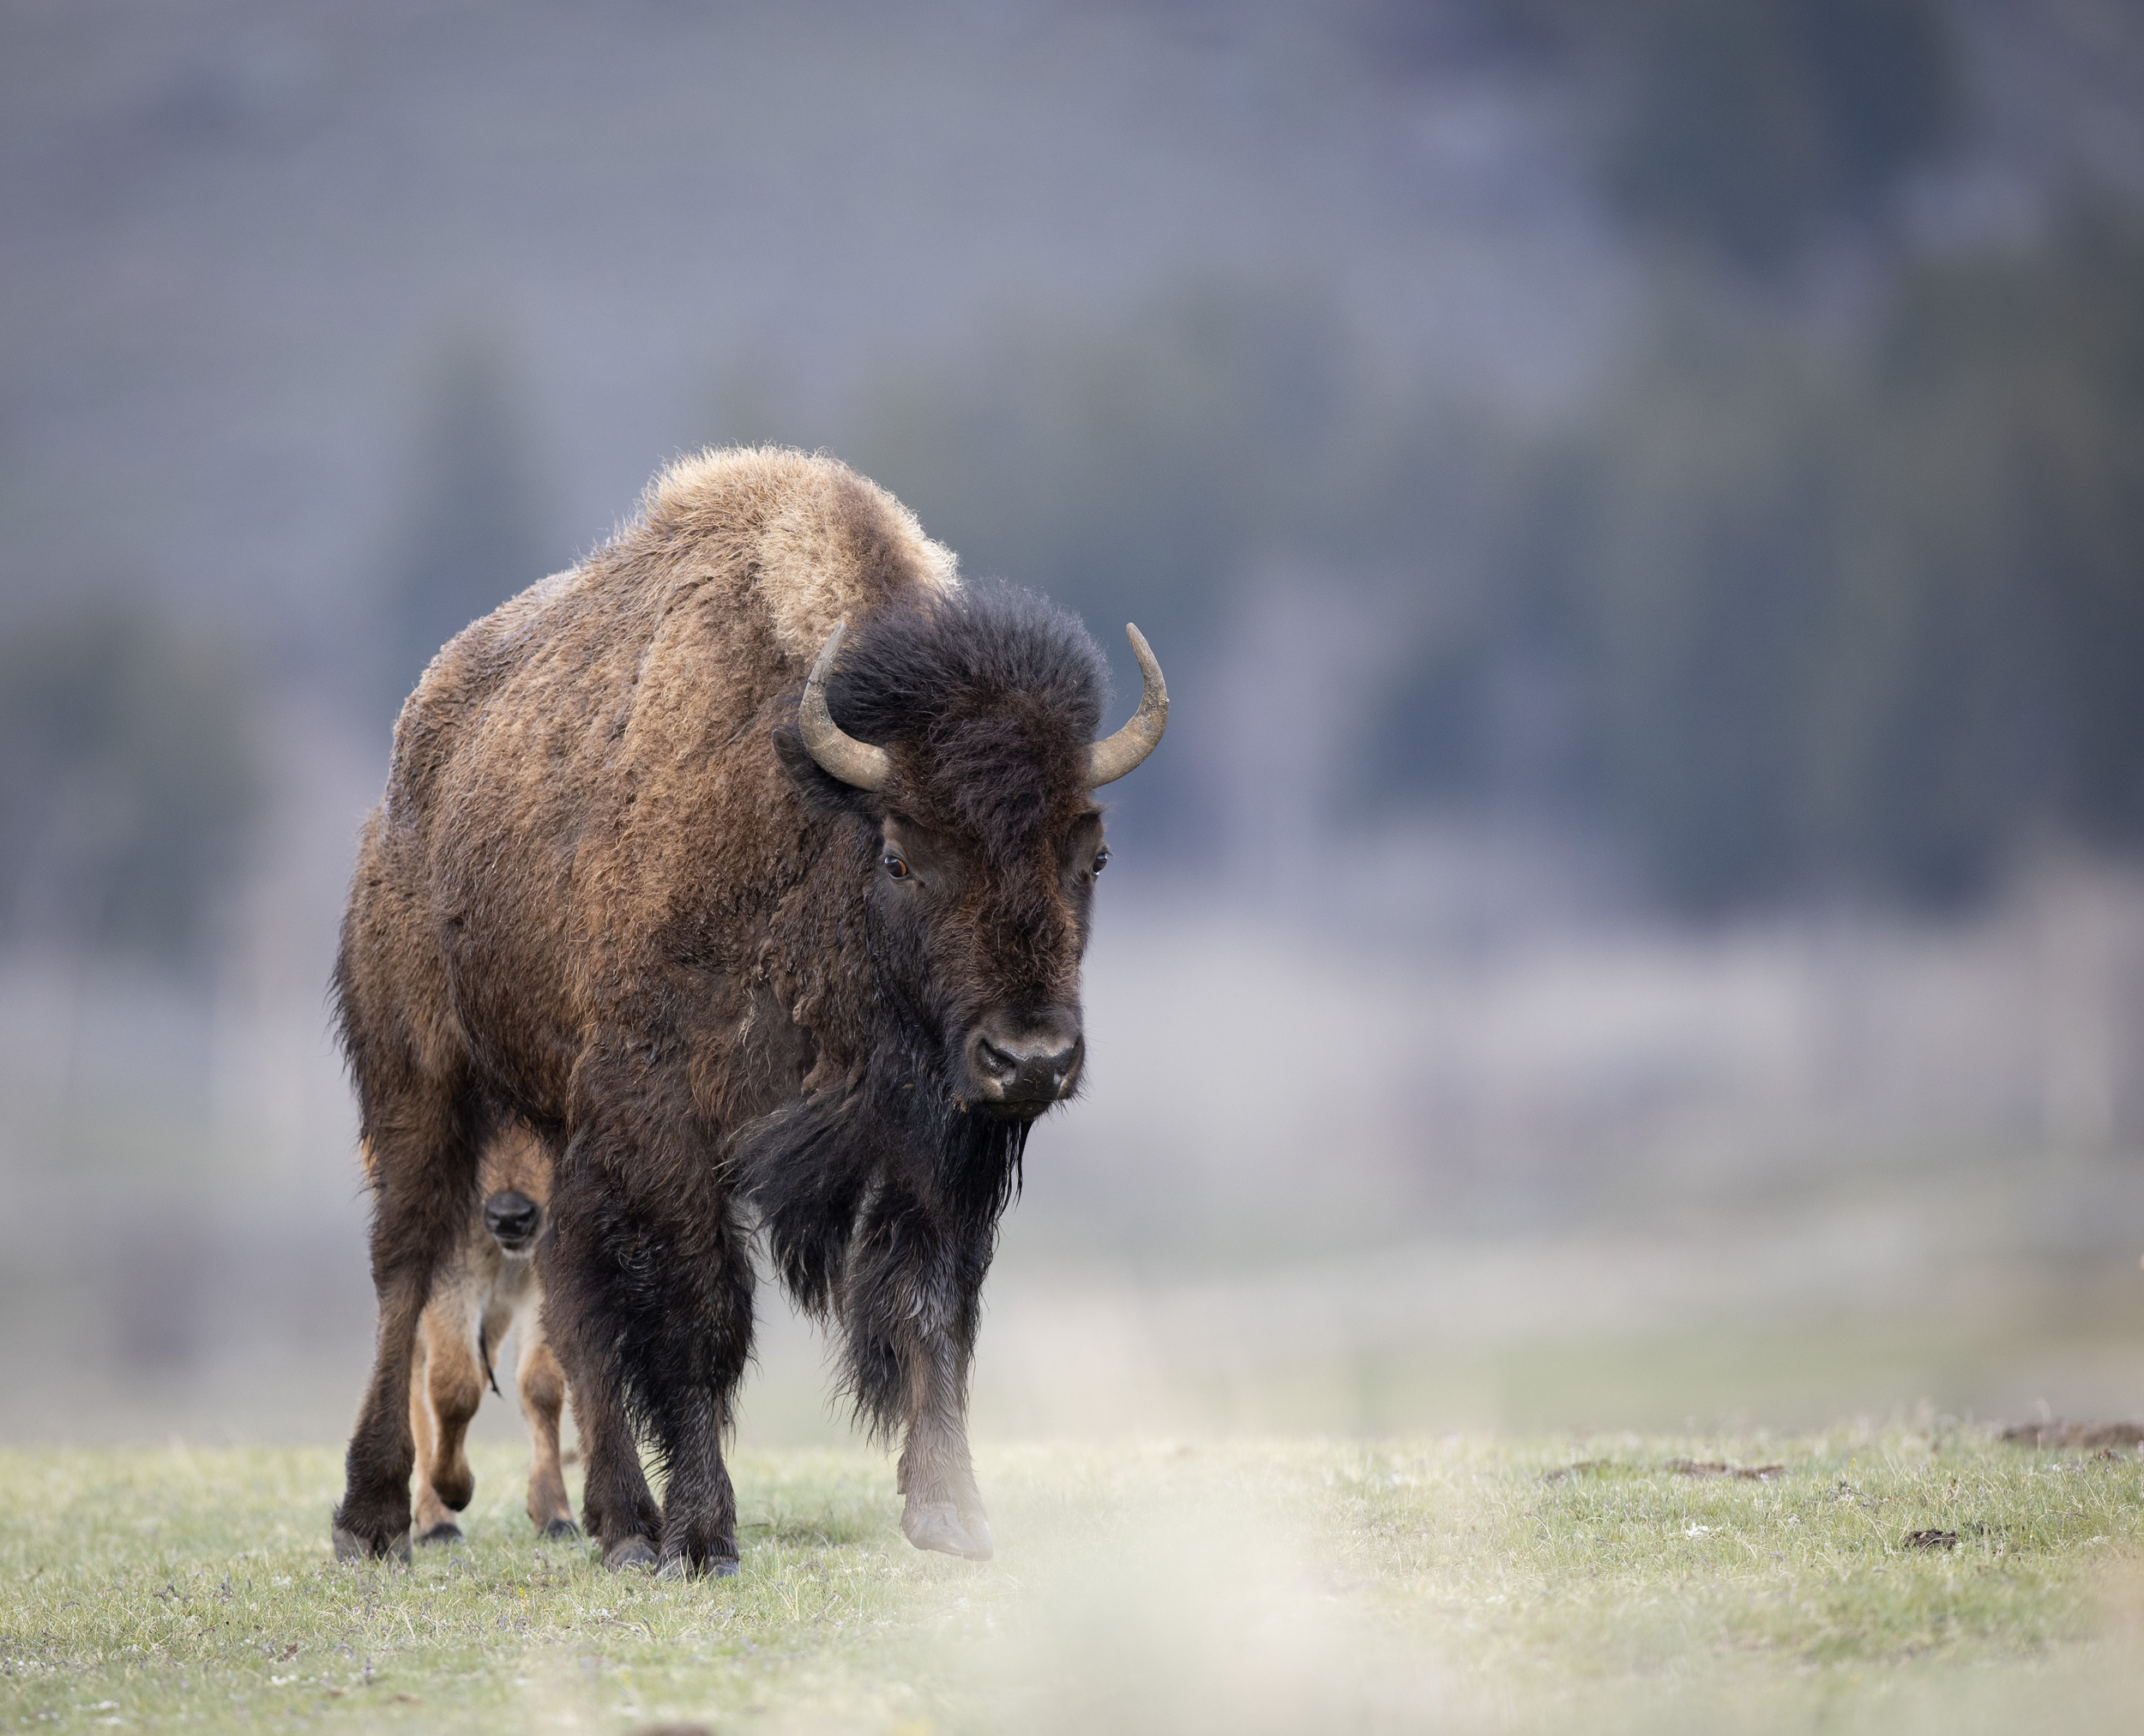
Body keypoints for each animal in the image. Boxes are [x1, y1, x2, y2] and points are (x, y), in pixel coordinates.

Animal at [331, 446, 1166, 1575]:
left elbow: (928, 1307)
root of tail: (403, 783)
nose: (1028, 1058)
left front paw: (951, 1514)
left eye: (1093, 852)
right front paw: (704, 1535)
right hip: (419, 1076)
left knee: (569, 1296)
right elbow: (702, 1315)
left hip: (555, 1132)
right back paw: (377, 1517)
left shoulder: (929, 1142)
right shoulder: (666, 1123)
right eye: (900, 852)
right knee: (407, 1265)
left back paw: (617, 1522)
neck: (811, 815)